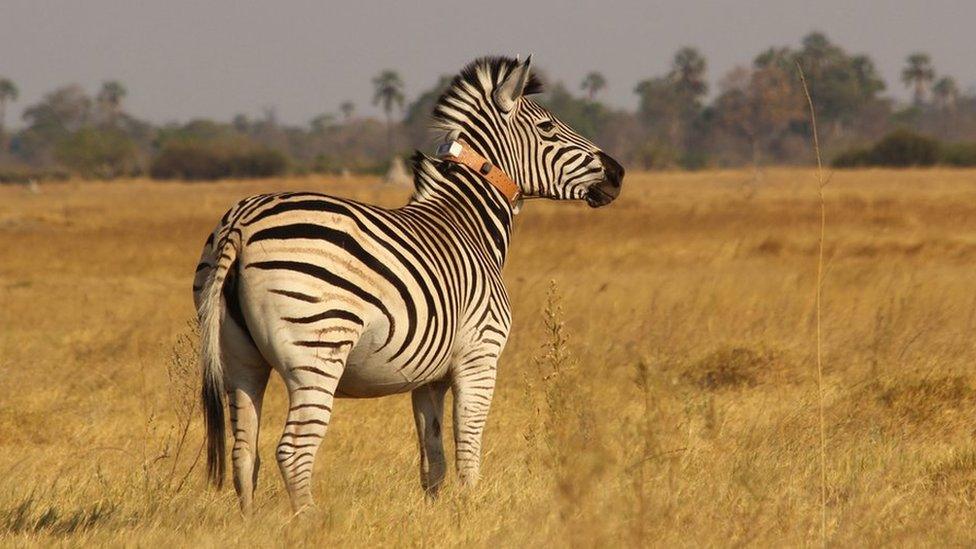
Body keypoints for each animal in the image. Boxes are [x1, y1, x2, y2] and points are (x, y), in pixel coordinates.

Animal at [194, 53, 624, 512]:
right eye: (547, 128)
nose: (618, 173)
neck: (469, 221)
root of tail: (242, 223)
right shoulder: (480, 356)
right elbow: (468, 449)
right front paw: (471, 510)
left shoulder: (428, 378)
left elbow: (433, 458)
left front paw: (437, 515)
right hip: (318, 349)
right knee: (292, 451)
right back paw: (309, 521)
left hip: (239, 357)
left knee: (244, 452)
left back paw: (252, 521)